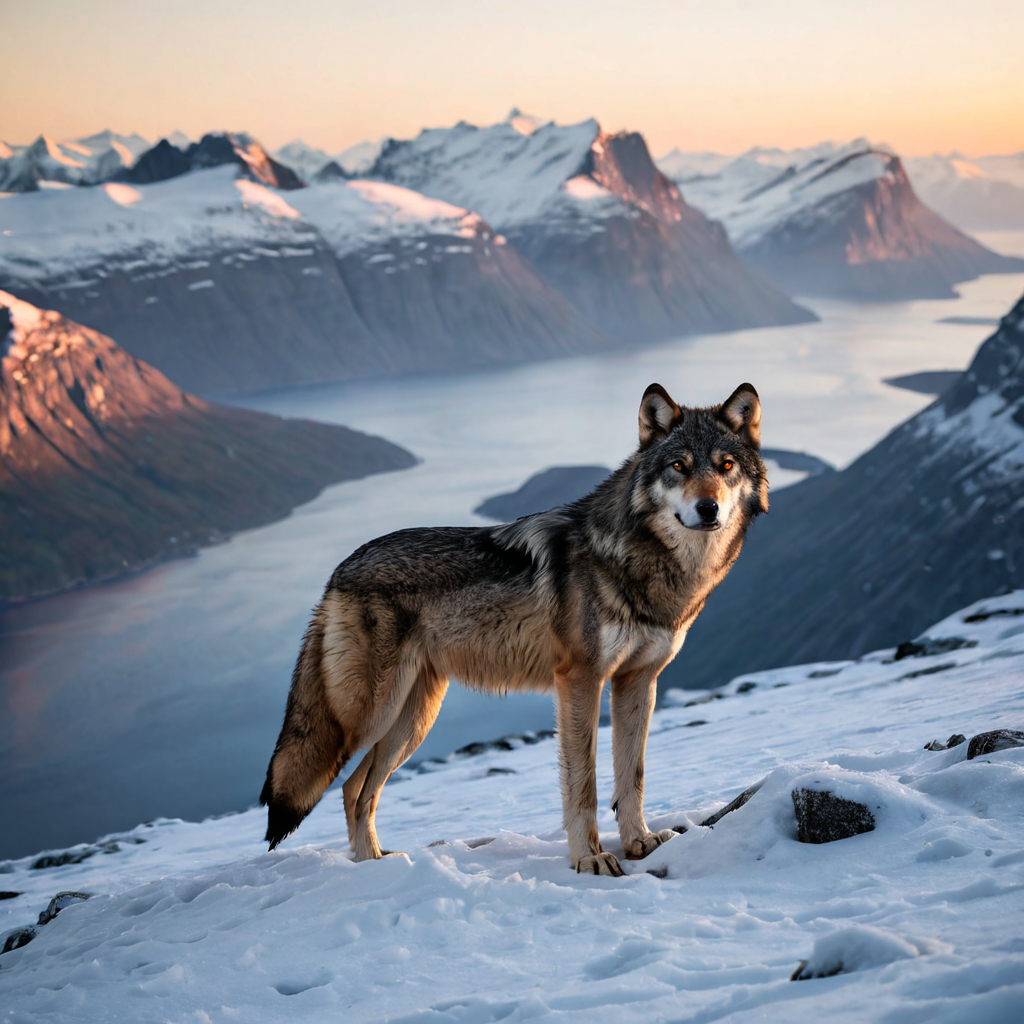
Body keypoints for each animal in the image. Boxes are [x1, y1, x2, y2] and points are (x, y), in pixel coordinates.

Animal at [261, 382, 767, 875]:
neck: (645, 564)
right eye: (679, 466)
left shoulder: (638, 681)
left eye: (725, 466)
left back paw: (380, 866)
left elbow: (633, 774)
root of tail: (338, 571)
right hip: (368, 716)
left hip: (413, 719)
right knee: (347, 785)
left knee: (357, 790)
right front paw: (589, 859)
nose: (708, 508)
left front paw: (638, 843)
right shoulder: (580, 680)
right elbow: (584, 783)